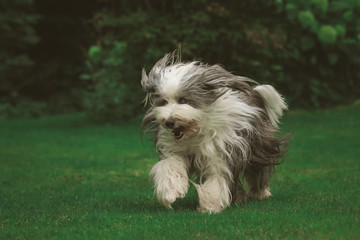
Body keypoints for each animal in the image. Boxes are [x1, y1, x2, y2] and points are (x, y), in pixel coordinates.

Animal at [141, 53, 290, 214]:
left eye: (183, 100)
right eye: (163, 102)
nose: (169, 122)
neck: (195, 131)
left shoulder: (220, 152)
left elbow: (217, 178)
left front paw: (210, 206)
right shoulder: (174, 150)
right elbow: (170, 165)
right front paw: (170, 192)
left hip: (259, 149)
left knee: (257, 171)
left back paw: (260, 193)